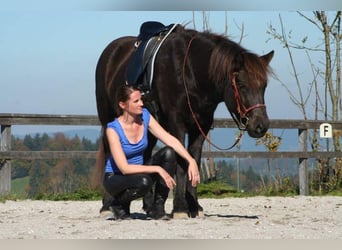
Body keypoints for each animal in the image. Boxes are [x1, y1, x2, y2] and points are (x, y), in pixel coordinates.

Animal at [95, 23, 274, 219]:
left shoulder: (200, 127)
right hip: (108, 119)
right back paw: (108, 206)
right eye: (241, 85)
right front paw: (180, 208)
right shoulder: (177, 124)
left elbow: (193, 160)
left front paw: (194, 206)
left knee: (146, 157)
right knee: (110, 156)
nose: (260, 126)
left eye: (264, 86)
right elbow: (181, 164)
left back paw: (147, 206)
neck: (189, 71)